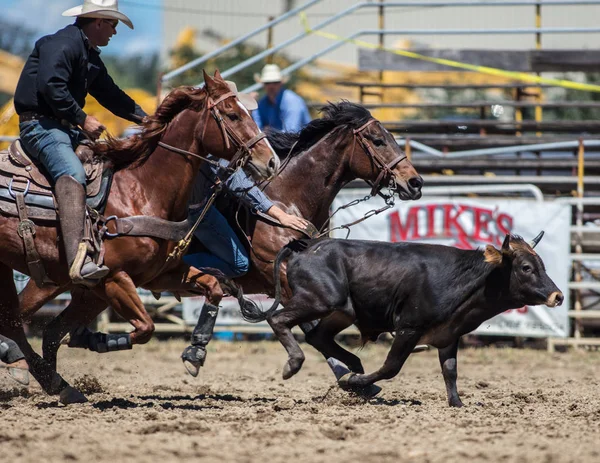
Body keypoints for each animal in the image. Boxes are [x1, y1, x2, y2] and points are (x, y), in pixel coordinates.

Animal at [0, 70, 278, 404]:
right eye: (233, 114)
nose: (271, 161)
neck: (142, 189)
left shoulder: (159, 275)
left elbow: (212, 287)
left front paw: (195, 351)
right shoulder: (113, 278)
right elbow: (146, 327)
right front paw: (96, 340)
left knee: (21, 324)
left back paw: (55, 382)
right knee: (15, 323)